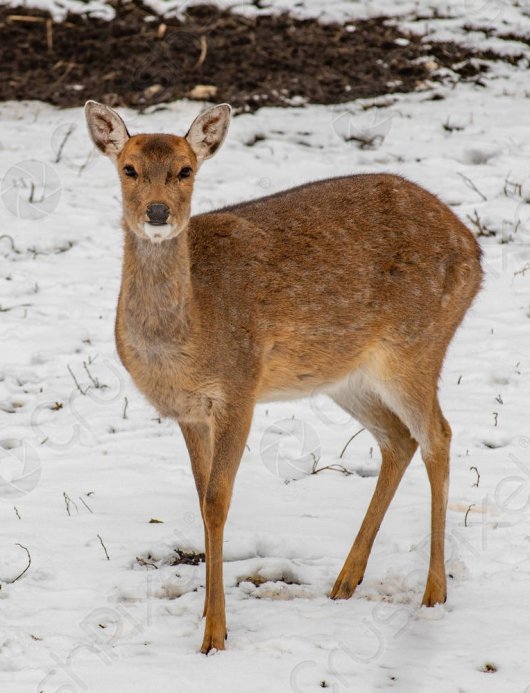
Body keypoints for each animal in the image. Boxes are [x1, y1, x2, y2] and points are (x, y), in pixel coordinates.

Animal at [83, 100, 482, 652]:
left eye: (185, 170)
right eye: (129, 168)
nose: (158, 212)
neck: (189, 333)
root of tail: (475, 252)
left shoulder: (239, 386)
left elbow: (218, 500)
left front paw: (215, 635)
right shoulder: (189, 411)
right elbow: (201, 497)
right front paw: (206, 617)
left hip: (417, 345)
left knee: (438, 435)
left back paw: (433, 592)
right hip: (347, 374)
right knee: (398, 440)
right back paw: (345, 580)